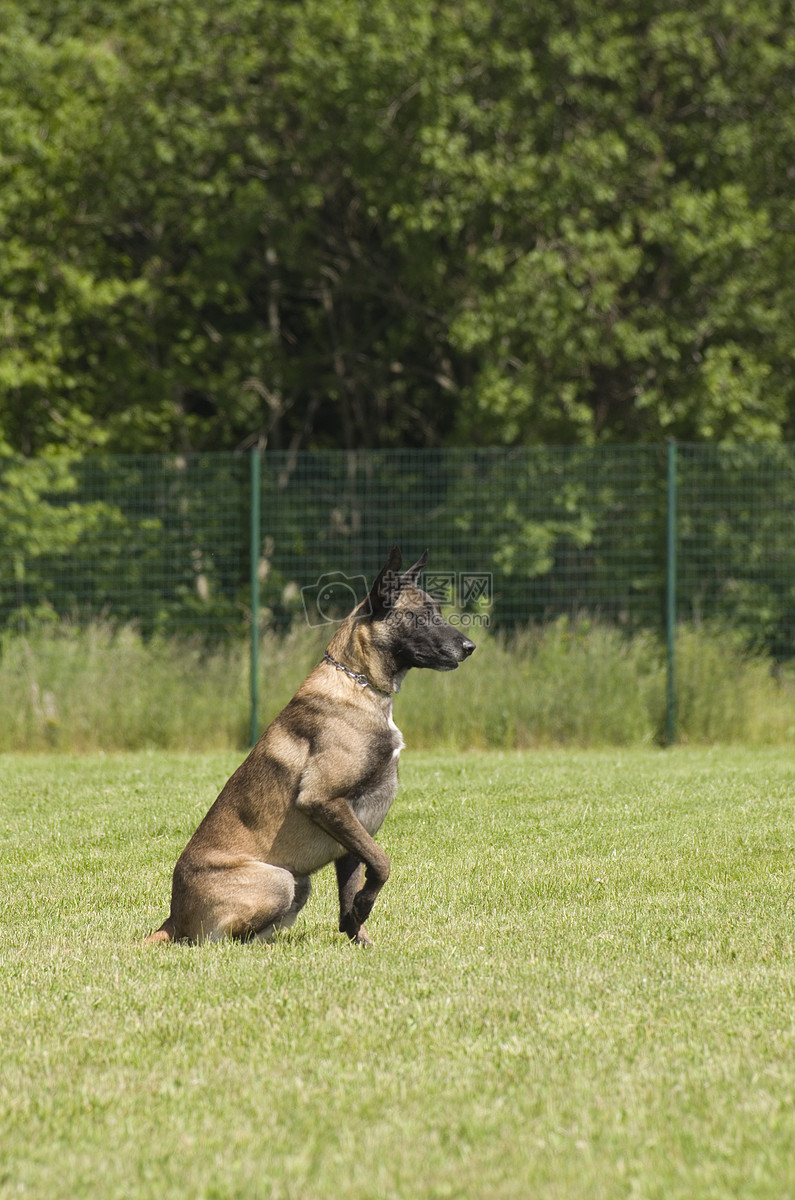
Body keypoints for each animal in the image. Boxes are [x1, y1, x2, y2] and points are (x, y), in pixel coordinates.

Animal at [145, 549, 475, 950]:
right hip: (281, 880)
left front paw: (357, 932)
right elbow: (381, 864)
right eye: (420, 615)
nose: (469, 647)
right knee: (219, 940)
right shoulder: (324, 800)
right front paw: (363, 907)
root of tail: (173, 917)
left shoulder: (353, 829)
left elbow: (353, 887)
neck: (359, 684)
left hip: (298, 883)